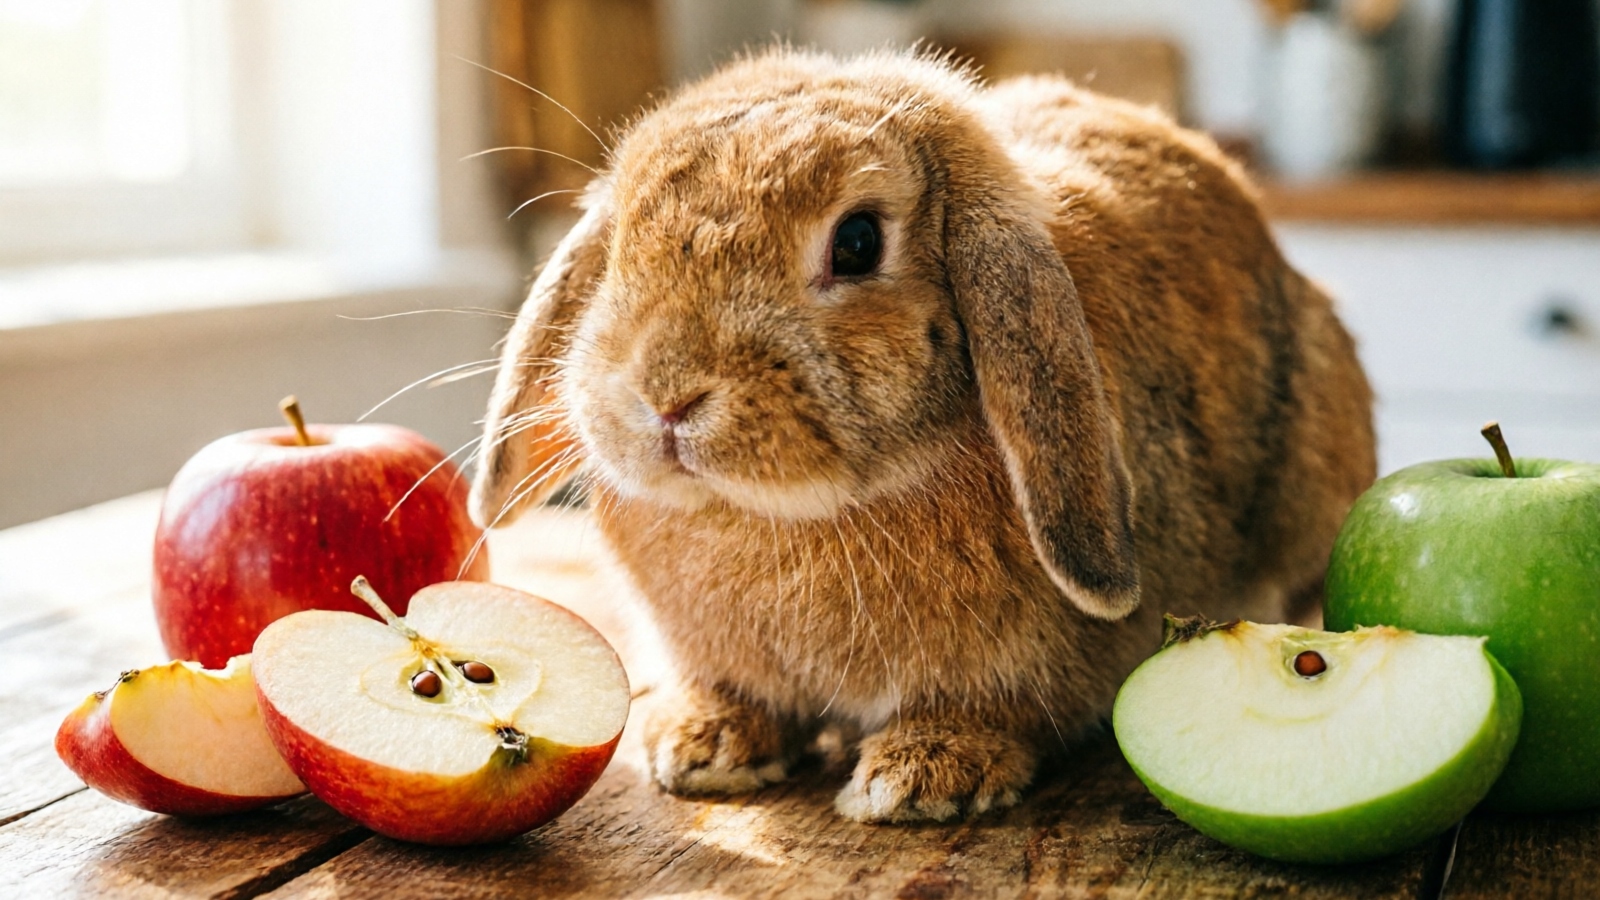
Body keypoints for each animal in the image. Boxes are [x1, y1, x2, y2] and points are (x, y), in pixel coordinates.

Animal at [468, 47, 1376, 824]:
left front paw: (925, 774)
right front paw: (705, 745)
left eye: (857, 241)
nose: (665, 395)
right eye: (622, 239)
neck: (785, 514)